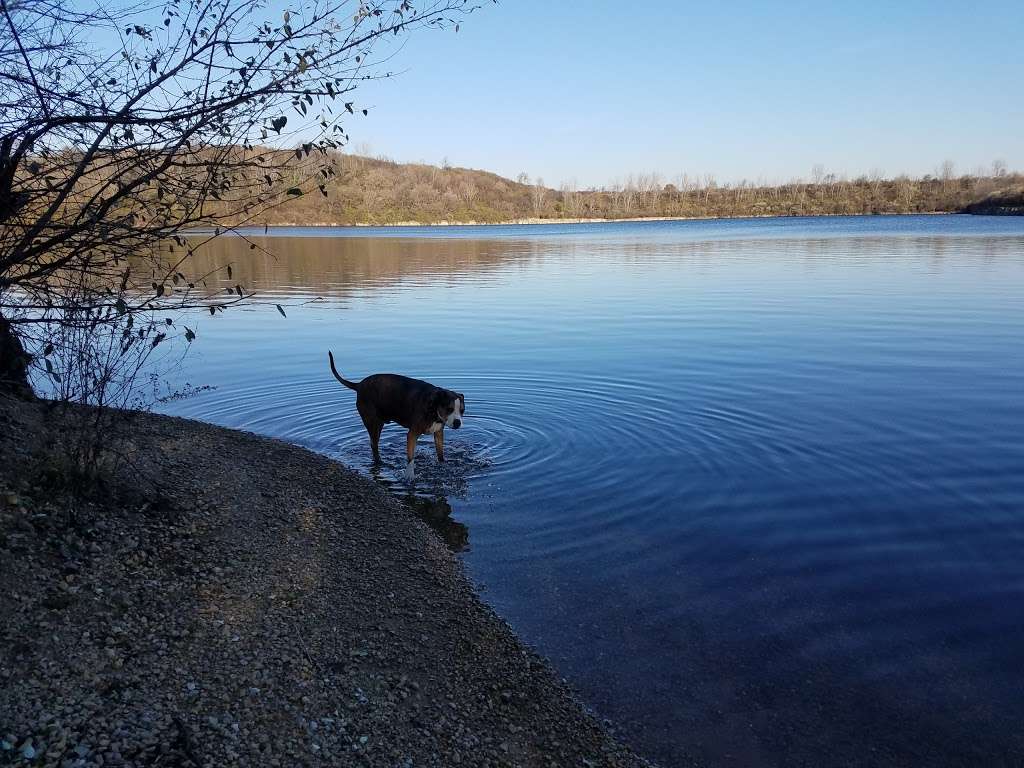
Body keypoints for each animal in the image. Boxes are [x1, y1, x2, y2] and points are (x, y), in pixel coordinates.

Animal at [329, 354, 466, 483]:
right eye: (449, 409)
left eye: (462, 410)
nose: (457, 423)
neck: (433, 406)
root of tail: (359, 385)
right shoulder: (412, 434)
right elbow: (410, 458)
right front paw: (410, 475)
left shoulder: (438, 432)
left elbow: (440, 453)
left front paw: (443, 465)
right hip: (373, 423)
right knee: (374, 445)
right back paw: (380, 462)